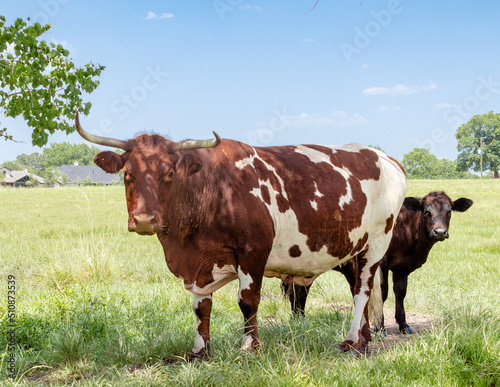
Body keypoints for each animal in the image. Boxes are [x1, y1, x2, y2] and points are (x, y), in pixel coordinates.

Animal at [76, 111, 408, 358]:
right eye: (127, 174)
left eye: (169, 173)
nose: (145, 219)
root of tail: (385, 158)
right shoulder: (200, 265)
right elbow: (201, 307)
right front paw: (200, 351)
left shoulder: (252, 252)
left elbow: (247, 301)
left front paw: (250, 346)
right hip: (353, 249)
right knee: (359, 292)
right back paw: (364, 340)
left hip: (376, 245)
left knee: (362, 291)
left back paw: (351, 342)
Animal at [284, 192, 470, 334]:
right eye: (426, 211)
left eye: (449, 211)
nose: (440, 232)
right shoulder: (381, 263)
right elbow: (382, 292)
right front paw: (379, 326)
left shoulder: (402, 267)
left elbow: (400, 292)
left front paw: (403, 325)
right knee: (297, 291)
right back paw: (298, 319)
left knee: (298, 291)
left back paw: (298, 319)